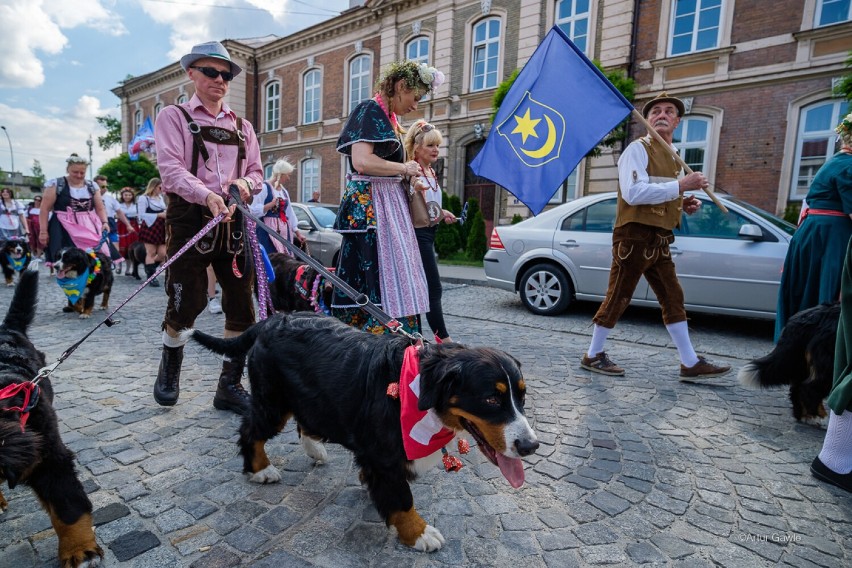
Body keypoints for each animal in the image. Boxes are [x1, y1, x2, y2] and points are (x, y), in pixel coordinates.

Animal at [184, 312, 540, 552]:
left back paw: (314, 449)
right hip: (273, 402)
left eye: (521, 397)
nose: (530, 446)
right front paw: (418, 533)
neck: (416, 391)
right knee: (250, 430)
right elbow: (401, 498)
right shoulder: (384, 454)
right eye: (491, 399)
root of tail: (270, 320)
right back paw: (261, 469)